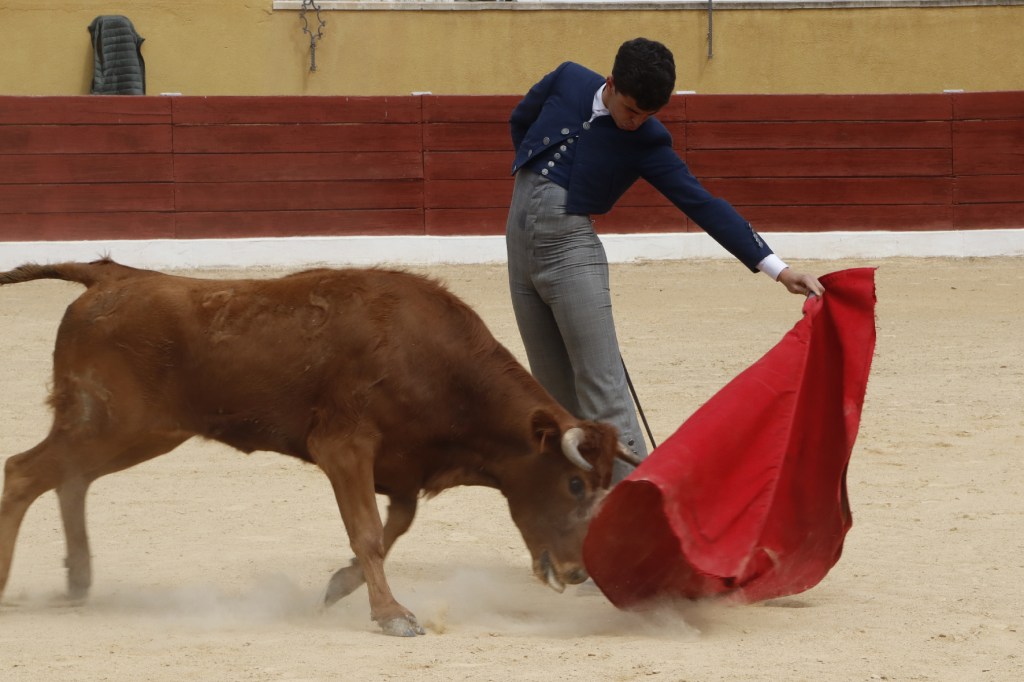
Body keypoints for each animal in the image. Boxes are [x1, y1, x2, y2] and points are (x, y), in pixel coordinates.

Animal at [0, 259, 640, 636]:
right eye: (575, 482)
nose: (577, 572)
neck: (436, 361)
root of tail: (109, 276)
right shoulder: (345, 448)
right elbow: (369, 534)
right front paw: (392, 615)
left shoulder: (403, 471)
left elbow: (390, 530)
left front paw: (339, 586)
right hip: (118, 426)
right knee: (25, 472)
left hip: (124, 433)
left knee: (68, 479)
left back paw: (79, 579)